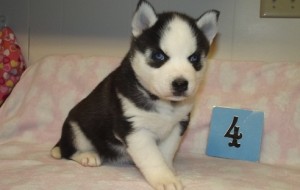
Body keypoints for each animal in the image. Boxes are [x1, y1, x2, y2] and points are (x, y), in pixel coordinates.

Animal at [51, 0, 219, 189]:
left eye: (194, 58)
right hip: (76, 128)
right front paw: (165, 178)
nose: (181, 83)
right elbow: (152, 158)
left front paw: (169, 170)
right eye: (159, 56)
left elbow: (165, 153)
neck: (164, 103)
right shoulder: (135, 128)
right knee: (68, 151)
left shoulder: (178, 125)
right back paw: (87, 155)